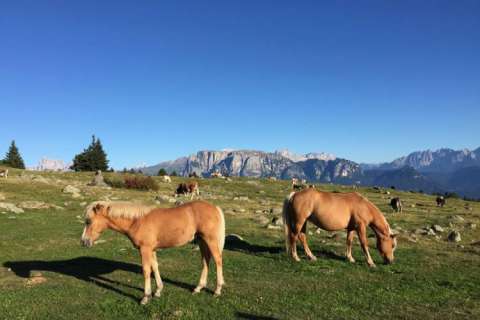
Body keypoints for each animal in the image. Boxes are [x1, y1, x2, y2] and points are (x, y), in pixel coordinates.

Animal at [80, 200, 225, 304]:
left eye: (89, 221)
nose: (84, 242)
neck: (137, 221)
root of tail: (215, 207)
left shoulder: (145, 249)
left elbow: (146, 270)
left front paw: (146, 297)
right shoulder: (152, 249)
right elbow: (155, 267)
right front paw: (158, 291)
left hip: (210, 240)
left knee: (218, 260)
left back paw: (217, 290)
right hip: (202, 241)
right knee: (205, 261)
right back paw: (198, 288)